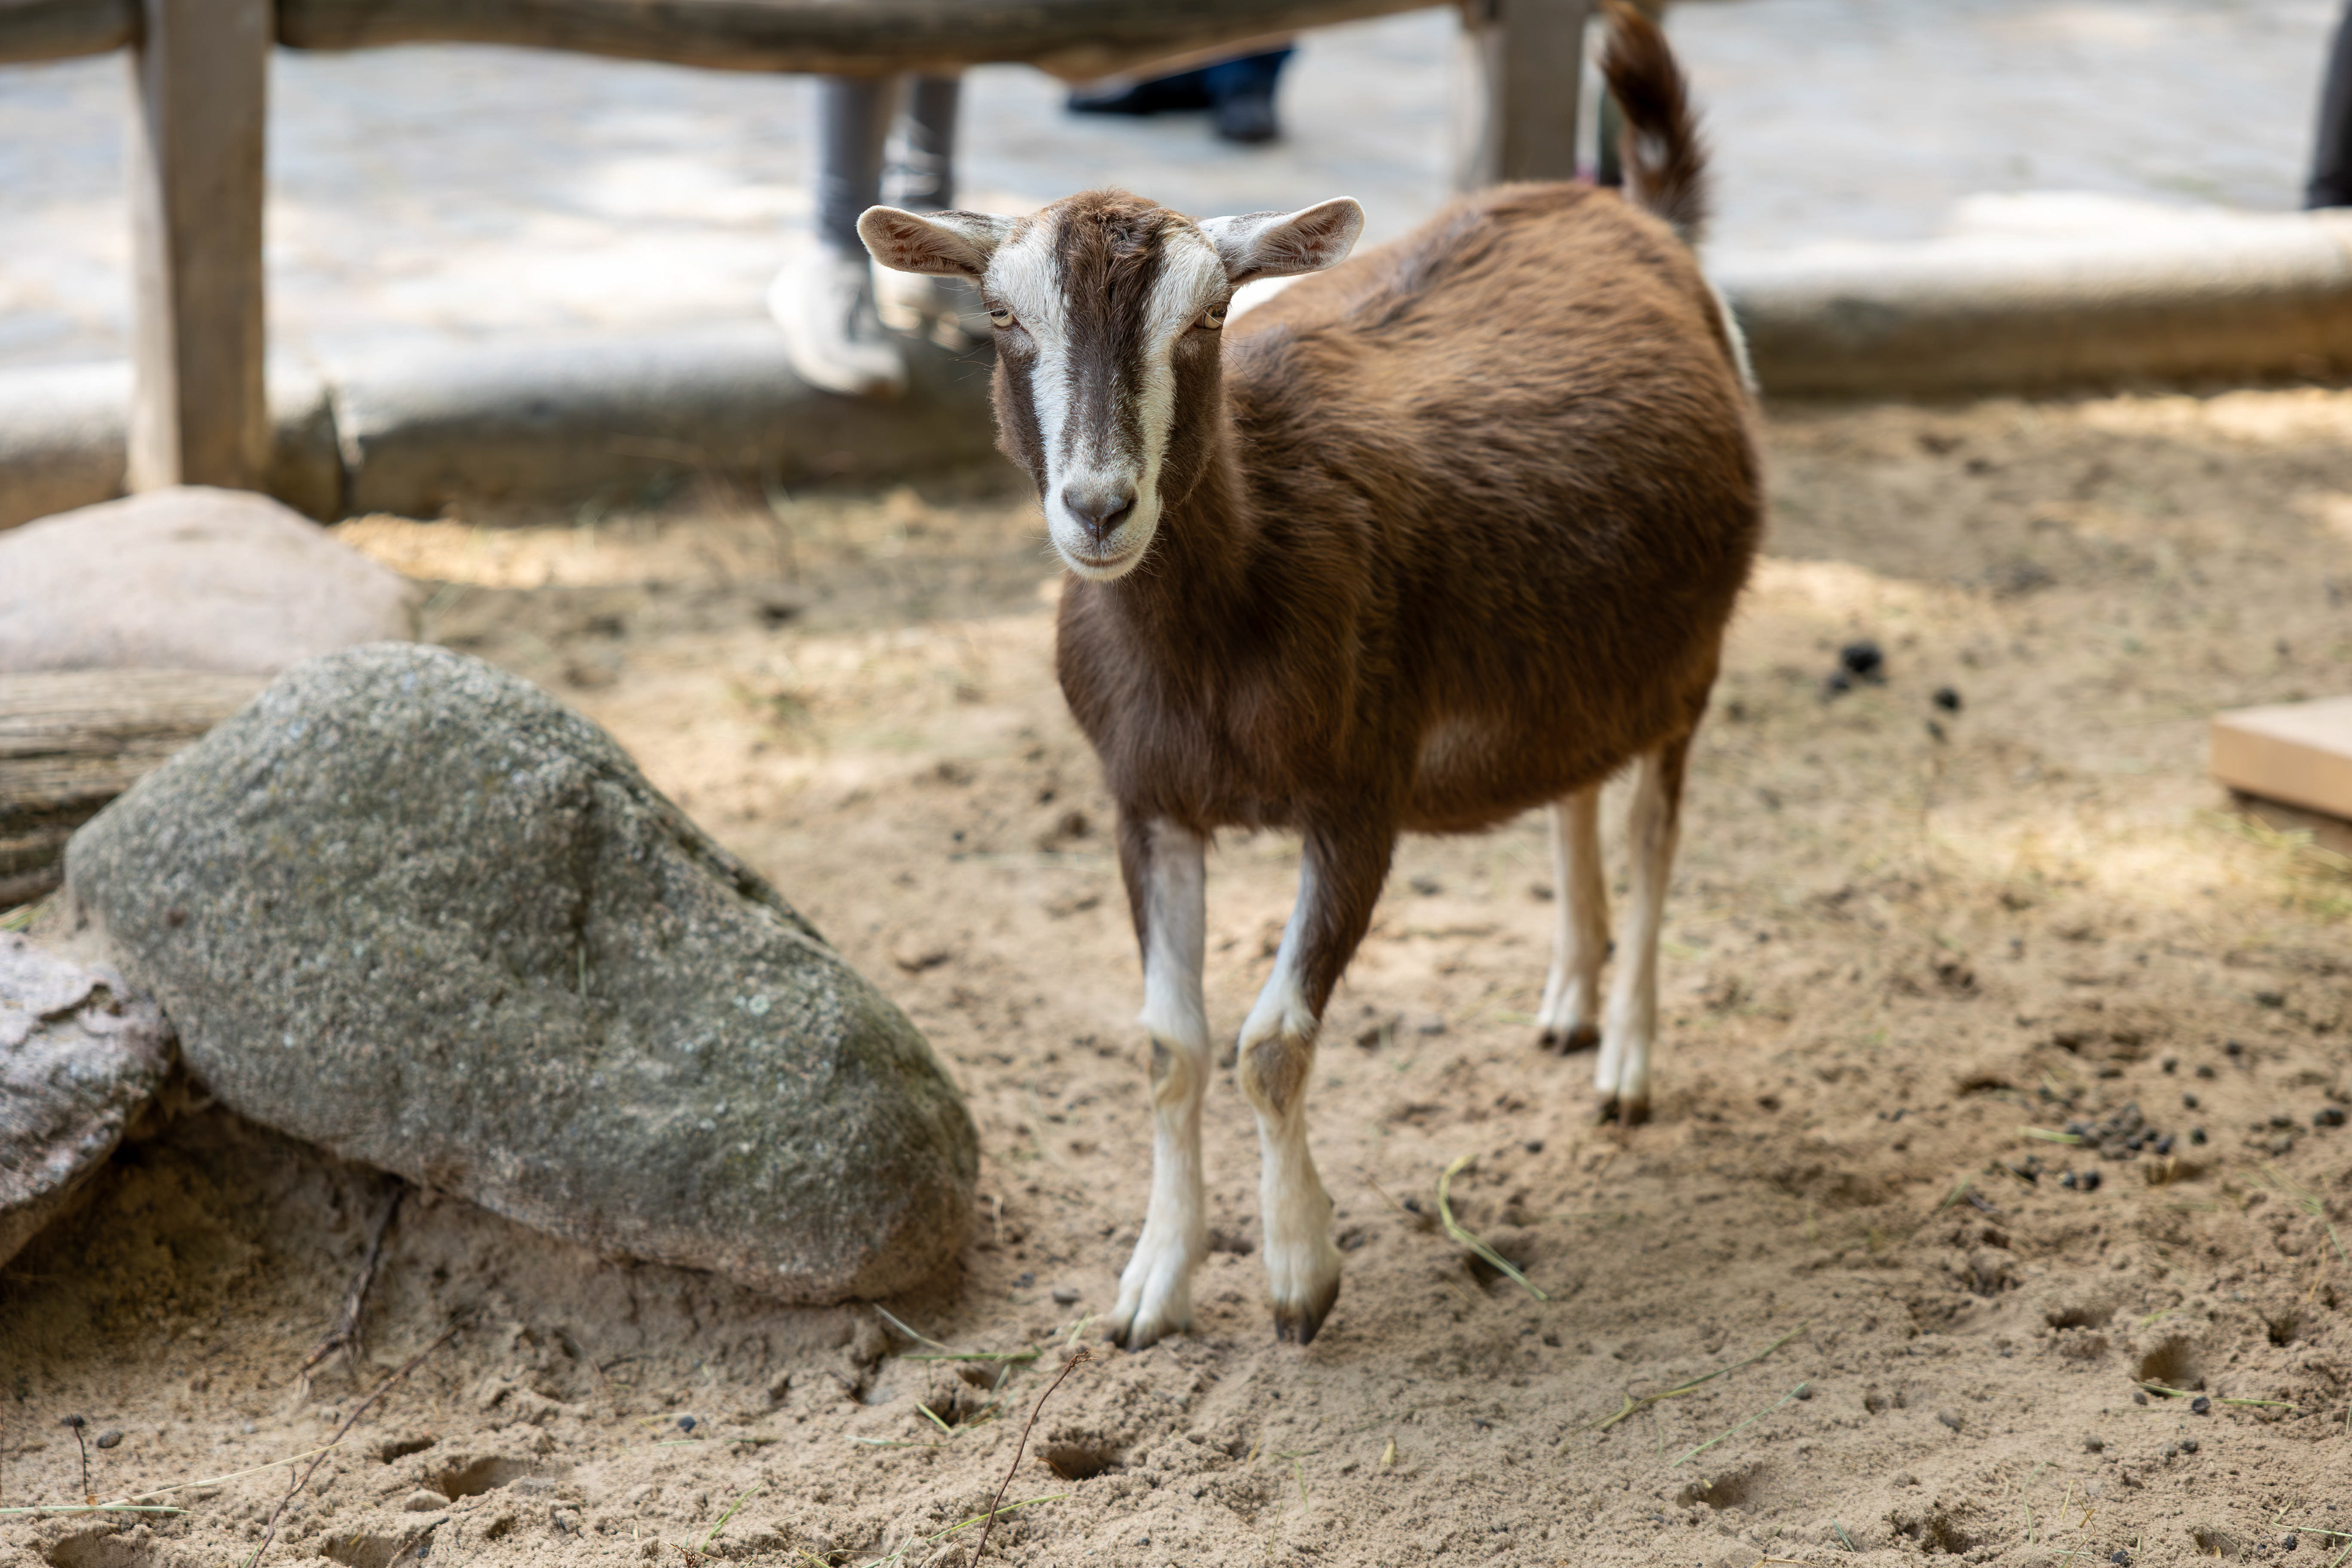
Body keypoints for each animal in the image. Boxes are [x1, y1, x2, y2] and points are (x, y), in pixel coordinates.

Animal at [858, 5, 1762, 1350]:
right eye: (1004, 320)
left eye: (1205, 319)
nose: (1099, 506)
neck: (1220, 628)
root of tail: (1637, 215)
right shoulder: (1146, 799)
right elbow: (1169, 1045)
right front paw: (1153, 1285)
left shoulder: (1359, 795)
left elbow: (1272, 1042)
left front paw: (1300, 1277)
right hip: (1580, 653)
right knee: (1577, 786)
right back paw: (1570, 997)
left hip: (1690, 655)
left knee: (1656, 828)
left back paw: (1628, 1064)